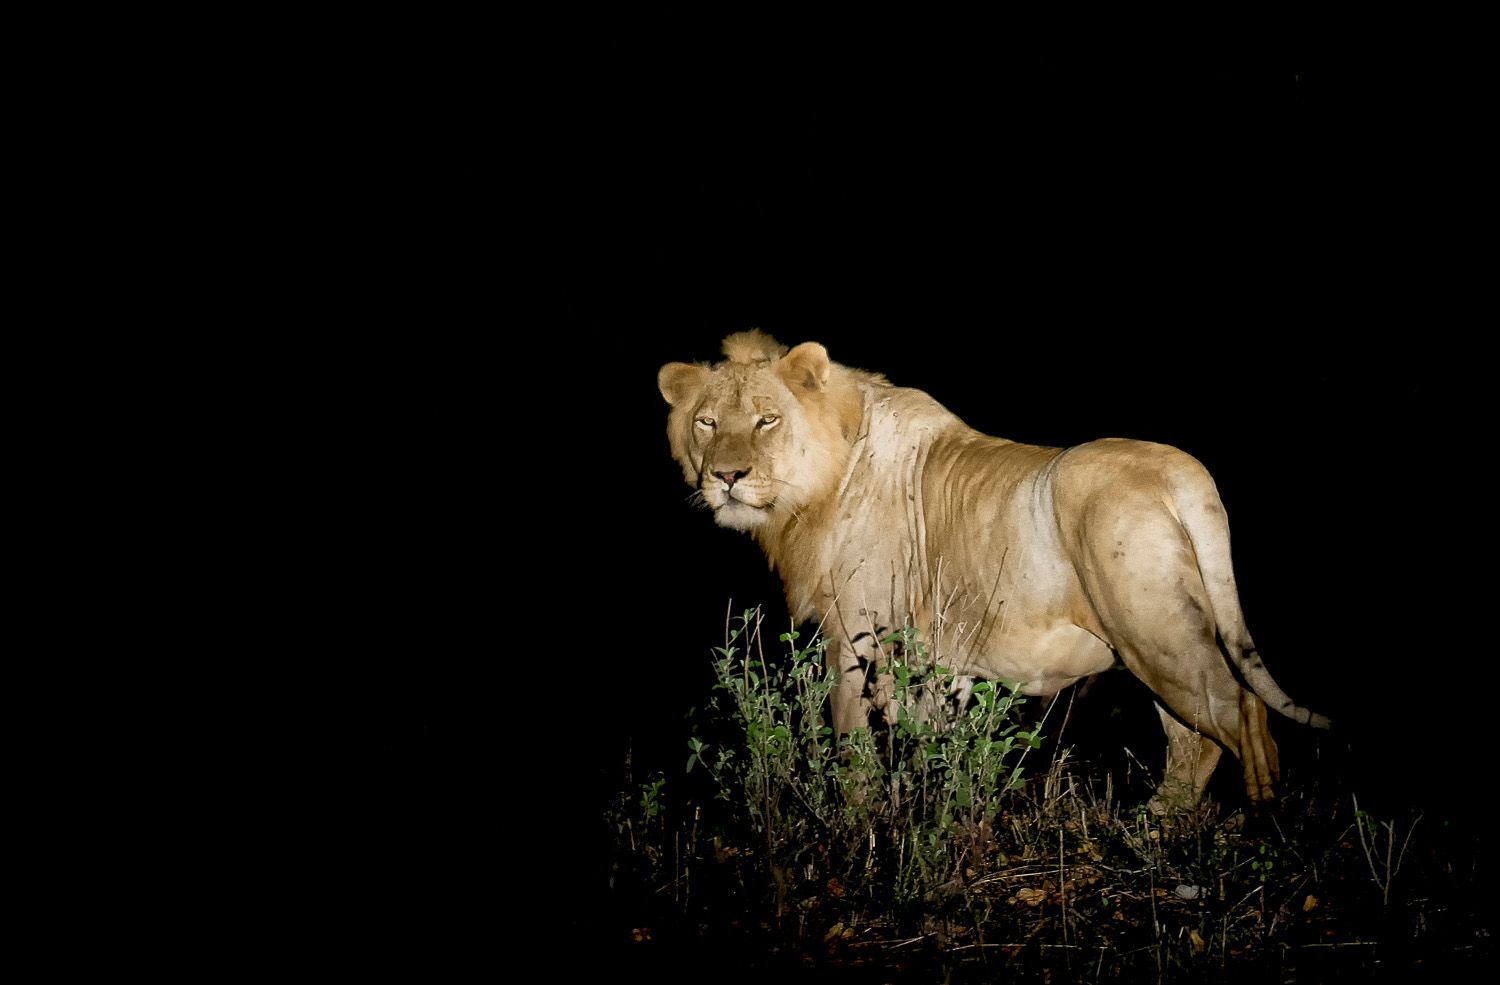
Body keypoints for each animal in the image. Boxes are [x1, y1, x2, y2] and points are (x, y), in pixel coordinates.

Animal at [659, 330, 1331, 808]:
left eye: (767, 419)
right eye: (707, 422)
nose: (727, 477)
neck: (813, 489)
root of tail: (1181, 471)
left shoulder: (851, 634)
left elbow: (850, 742)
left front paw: (858, 825)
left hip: (1157, 633)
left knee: (1242, 714)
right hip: (1151, 645)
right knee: (1197, 743)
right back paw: (1152, 831)